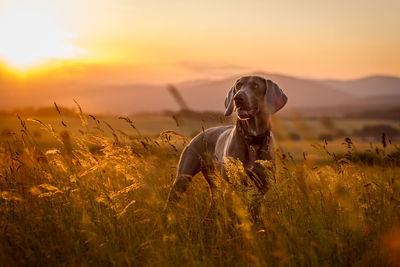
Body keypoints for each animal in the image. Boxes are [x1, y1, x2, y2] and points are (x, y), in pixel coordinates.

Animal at [166, 75, 288, 222]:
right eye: (238, 85)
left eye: (255, 86)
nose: (237, 98)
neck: (252, 139)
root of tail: (200, 134)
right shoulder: (231, 188)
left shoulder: (261, 187)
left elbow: (254, 217)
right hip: (183, 179)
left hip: (214, 183)